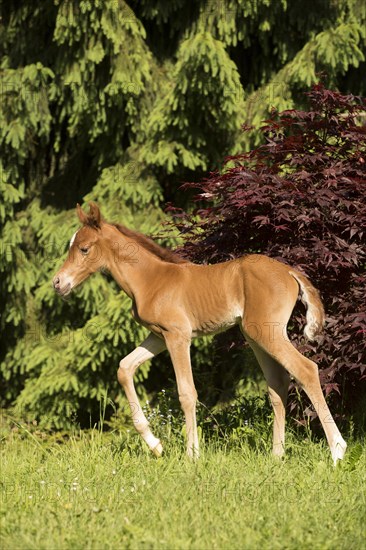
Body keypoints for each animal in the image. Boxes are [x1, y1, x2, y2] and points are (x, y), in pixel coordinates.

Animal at [52, 203, 346, 466]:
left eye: (84, 249)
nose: (58, 283)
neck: (151, 279)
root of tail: (289, 270)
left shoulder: (178, 336)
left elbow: (186, 392)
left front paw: (192, 454)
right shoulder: (158, 336)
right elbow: (124, 368)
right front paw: (156, 446)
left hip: (266, 333)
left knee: (306, 369)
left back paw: (337, 451)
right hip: (256, 337)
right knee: (278, 383)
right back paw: (277, 456)